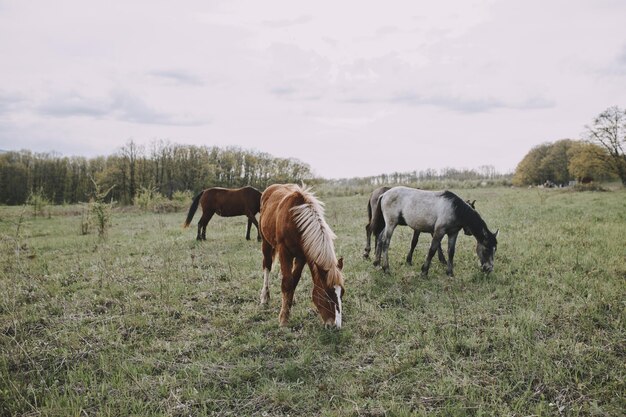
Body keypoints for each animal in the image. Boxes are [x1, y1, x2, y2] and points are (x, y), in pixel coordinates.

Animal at [258, 184, 346, 328]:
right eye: (326, 294)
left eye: (342, 293)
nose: (335, 326)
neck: (295, 221)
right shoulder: (284, 251)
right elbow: (287, 282)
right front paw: (283, 319)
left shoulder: (302, 256)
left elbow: (294, 281)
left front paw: (287, 306)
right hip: (266, 242)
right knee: (267, 266)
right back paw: (264, 297)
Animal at [370, 187, 498, 278]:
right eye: (486, 249)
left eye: (494, 250)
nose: (489, 269)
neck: (455, 209)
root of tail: (384, 194)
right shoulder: (439, 231)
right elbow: (432, 250)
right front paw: (424, 272)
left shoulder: (453, 233)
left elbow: (451, 252)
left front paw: (450, 273)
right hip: (391, 223)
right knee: (385, 242)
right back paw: (386, 269)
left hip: (388, 224)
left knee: (380, 238)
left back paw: (377, 264)